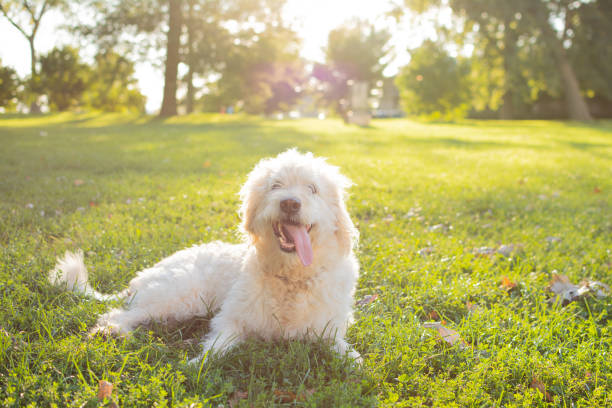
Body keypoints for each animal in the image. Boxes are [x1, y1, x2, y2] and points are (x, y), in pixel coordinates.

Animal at [51, 150, 364, 364]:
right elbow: (217, 347)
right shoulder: (231, 319)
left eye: (312, 189)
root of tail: (140, 278)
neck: (291, 276)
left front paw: (355, 362)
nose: (289, 203)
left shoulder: (327, 330)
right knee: (117, 314)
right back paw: (113, 331)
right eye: (276, 185)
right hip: (178, 296)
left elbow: (346, 352)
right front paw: (196, 365)